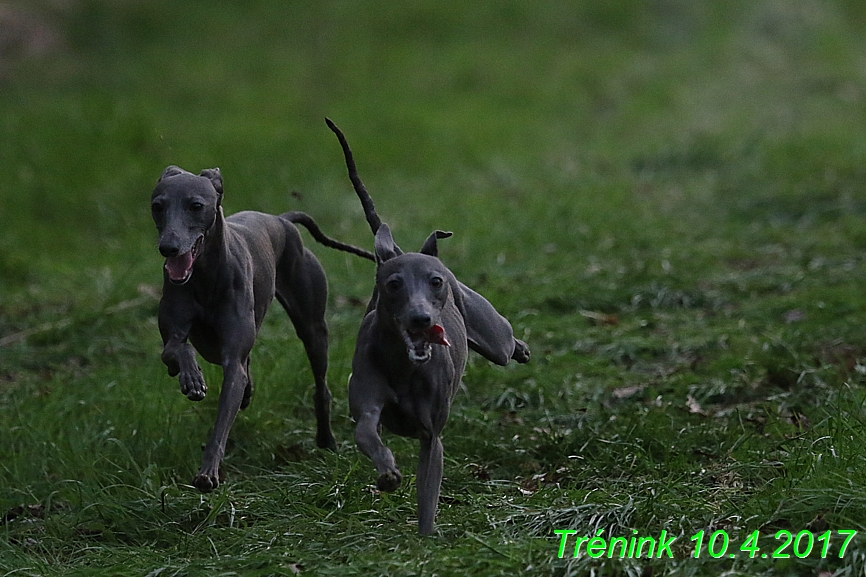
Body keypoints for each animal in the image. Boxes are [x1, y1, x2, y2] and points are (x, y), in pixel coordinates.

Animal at [152, 165, 374, 490]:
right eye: (158, 206)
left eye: (196, 206)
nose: (168, 247)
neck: (205, 276)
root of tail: (282, 220)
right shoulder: (177, 328)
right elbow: (174, 350)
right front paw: (191, 377)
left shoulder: (232, 359)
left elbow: (223, 418)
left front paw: (208, 472)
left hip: (313, 328)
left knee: (320, 384)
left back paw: (326, 440)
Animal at [324, 119, 528, 532]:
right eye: (393, 284)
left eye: (435, 282)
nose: (421, 319)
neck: (405, 366)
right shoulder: (368, 404)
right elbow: (366, 430)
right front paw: (387, 472)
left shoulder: (431, 436)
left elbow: (428, 495)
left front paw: (426, 538)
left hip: (491, 334)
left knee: (505, 342)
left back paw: (522, 349)